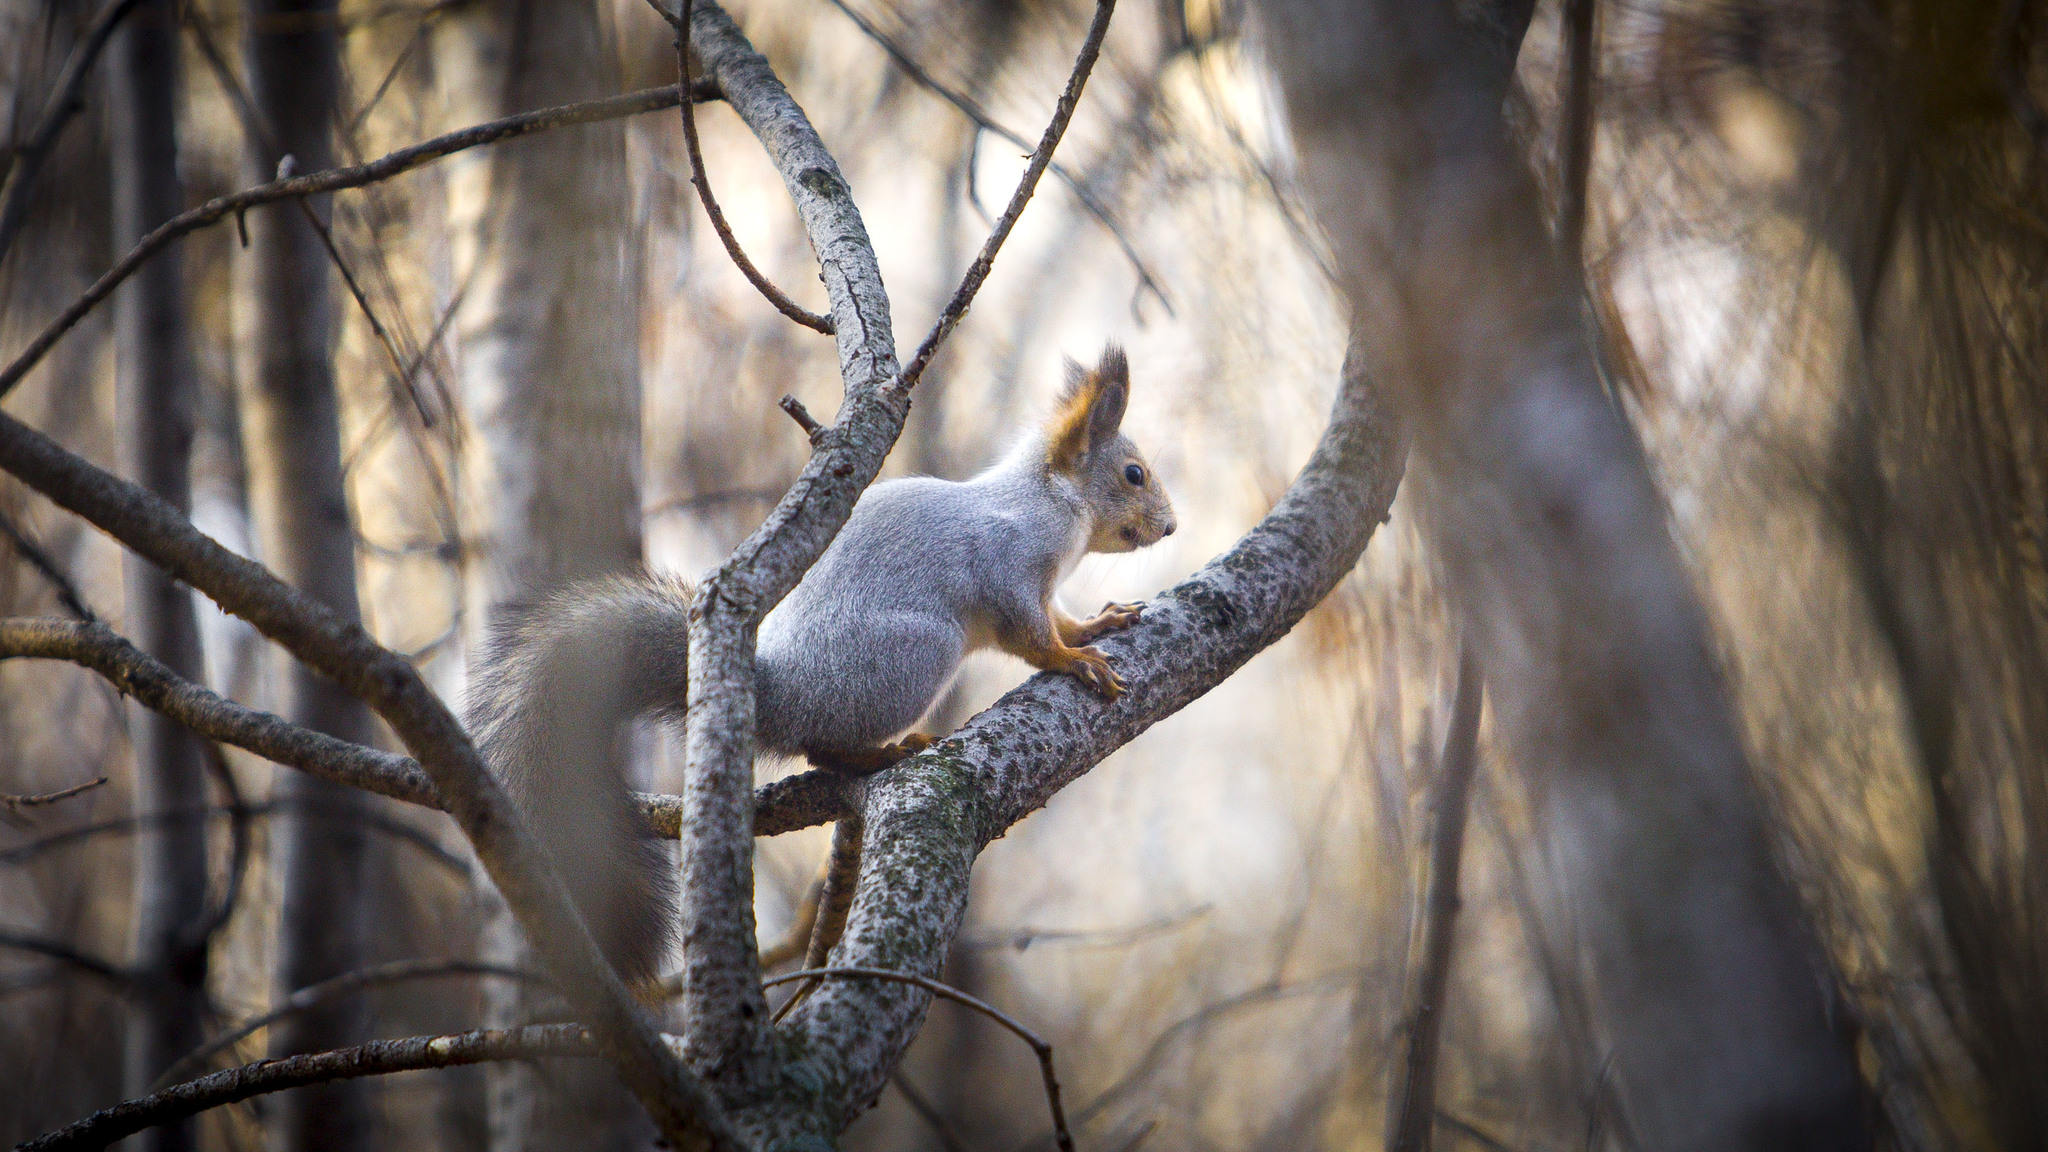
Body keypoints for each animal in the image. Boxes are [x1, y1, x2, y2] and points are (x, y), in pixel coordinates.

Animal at [458, 342, 1179, 975]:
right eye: (1134, 474)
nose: (1172, 527)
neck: (1052, 500)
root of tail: (777, 694)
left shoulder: (1044, 585)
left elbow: (1062, 618)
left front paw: (1099, 624)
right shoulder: (1008, 569)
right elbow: (1031, 636)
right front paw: (1074, 661)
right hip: (917, 657)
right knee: (818, 748)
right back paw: (883, 753)